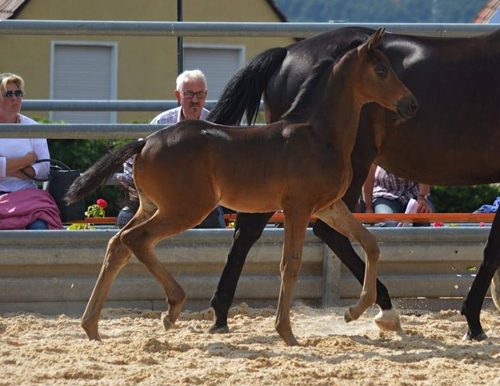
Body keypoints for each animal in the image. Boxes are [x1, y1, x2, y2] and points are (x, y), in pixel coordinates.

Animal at [66, 28, 418, 346]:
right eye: (381, 70)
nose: (411, 104)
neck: (319, 136)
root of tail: (144, 142)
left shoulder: (328, 206)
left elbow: (371, 243)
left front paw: (354, 312)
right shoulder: (297, 208)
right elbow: (290, 264)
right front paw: (287, 333)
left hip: (151, 206)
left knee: (117, 245)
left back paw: (91, 327)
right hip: (186, 209)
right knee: (134, 239)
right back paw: (172, 307)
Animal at [207, 27, 500, 340]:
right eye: (381, 70)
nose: (412, 104)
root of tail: (286, 53)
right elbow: (492, 249)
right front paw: (473, 321)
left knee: (251, 229)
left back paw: (221, 313)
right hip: (350, 166)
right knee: (323, 232)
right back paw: (385, 310)